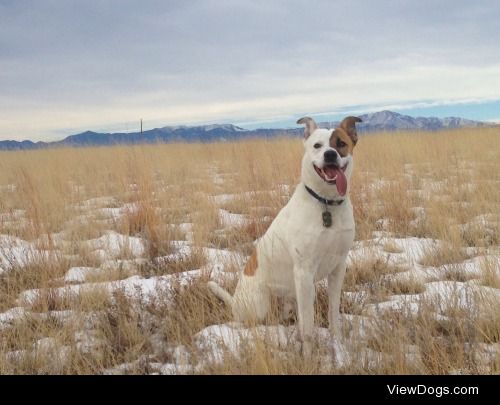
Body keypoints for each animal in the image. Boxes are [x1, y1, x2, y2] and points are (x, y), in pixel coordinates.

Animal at [209, 114, 362, 354]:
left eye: (341, 143)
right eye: (317, 146)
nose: (330, 154)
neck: (326, 203)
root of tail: (235, 301)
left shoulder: (338, 267)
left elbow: (333, 313)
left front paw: (338, 343)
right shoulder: (304, 272)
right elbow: (308, 327)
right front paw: (308, 355)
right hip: (261, 305)